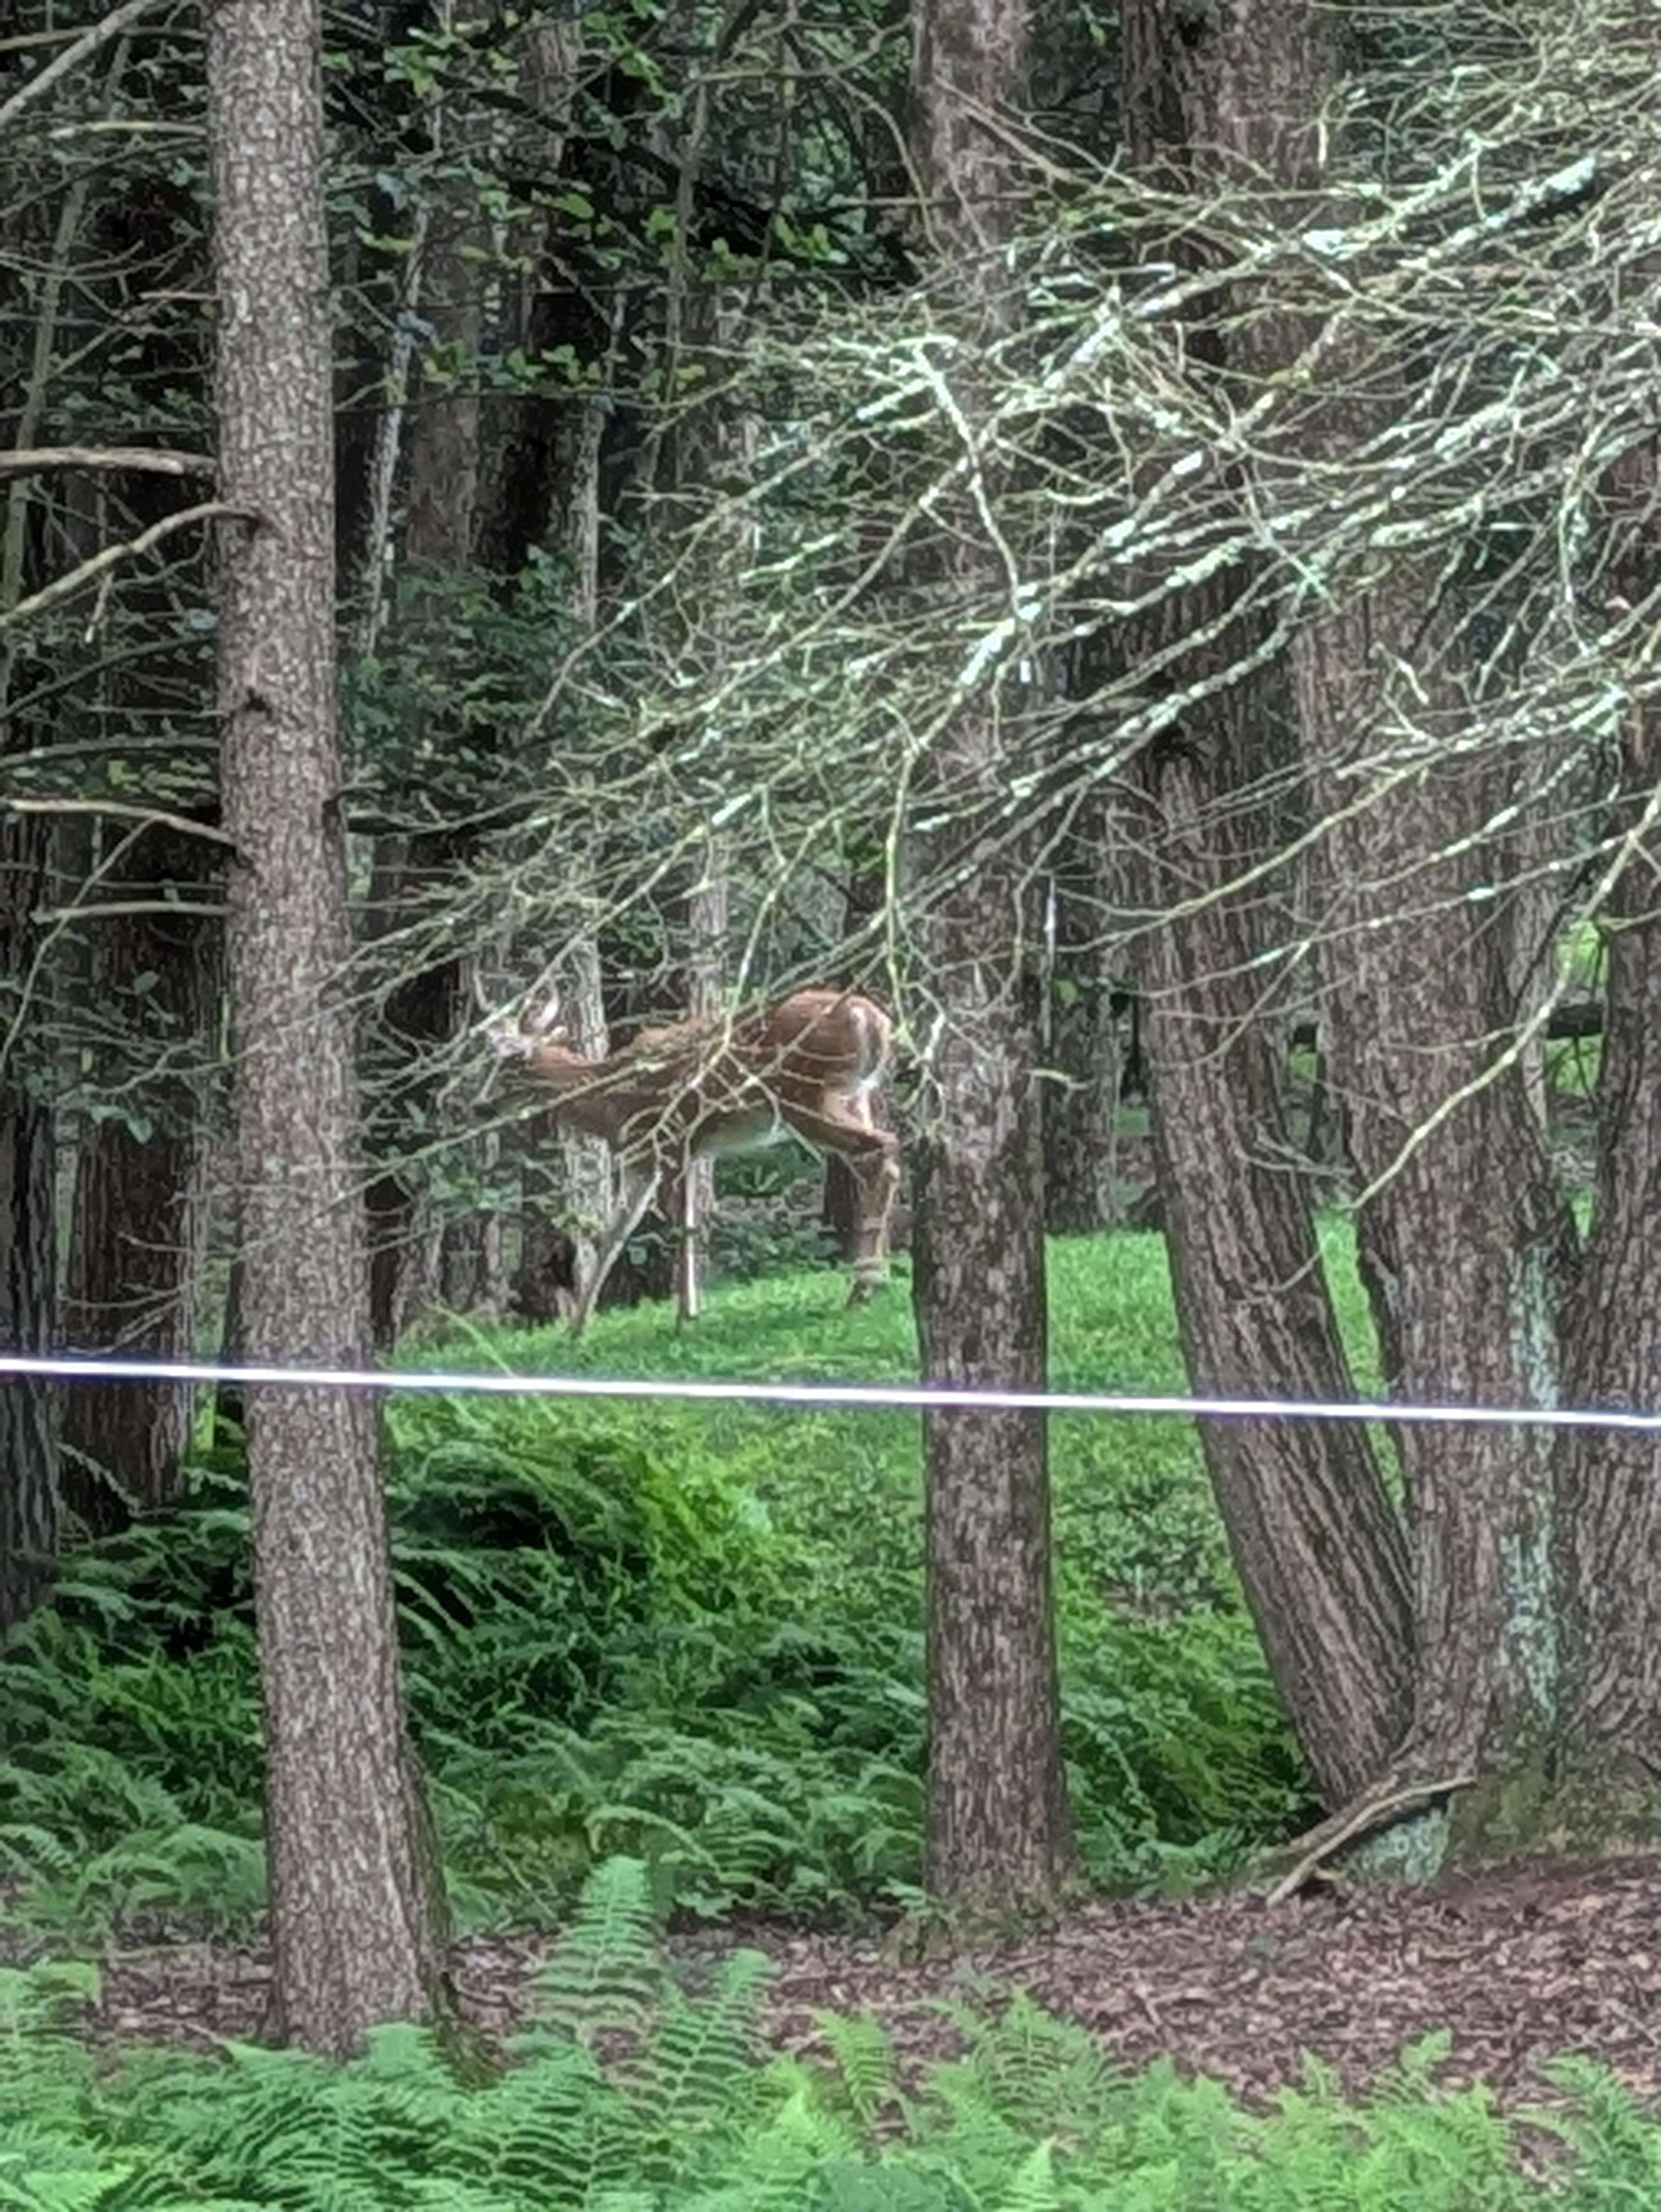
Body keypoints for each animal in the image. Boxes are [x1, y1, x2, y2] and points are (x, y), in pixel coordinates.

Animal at [477, 981, 901, 1337]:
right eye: (488, 1060)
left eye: (510, 1062)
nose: (481, 1106)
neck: (610, 1103)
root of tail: (871, 1019)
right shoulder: (648, 1157)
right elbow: (615, 1234)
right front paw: (576, 1329)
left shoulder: (670, 1141)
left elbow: (684, 1227)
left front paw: (686, 1315)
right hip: (853, 1098)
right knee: (879, 1160)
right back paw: (875, 1280)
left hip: (804, 1098)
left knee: (881, 1148)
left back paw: (863, 1288)